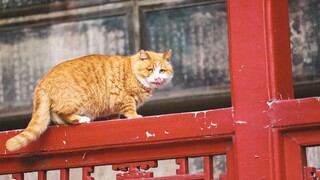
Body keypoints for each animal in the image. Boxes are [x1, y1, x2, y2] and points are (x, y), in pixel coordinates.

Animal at [5, 49, 174, 152]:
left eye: (162, 71)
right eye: (150, 70)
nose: (157, 78)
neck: (133, 72)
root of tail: (43, 82)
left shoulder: (114, 107)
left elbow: (114, 116)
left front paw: (114, 121)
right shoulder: (126, 98)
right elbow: (130, 111)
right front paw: (136, 117)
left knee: (55, 115)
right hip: (77, 100)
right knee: (62, 112)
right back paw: (82, 119)